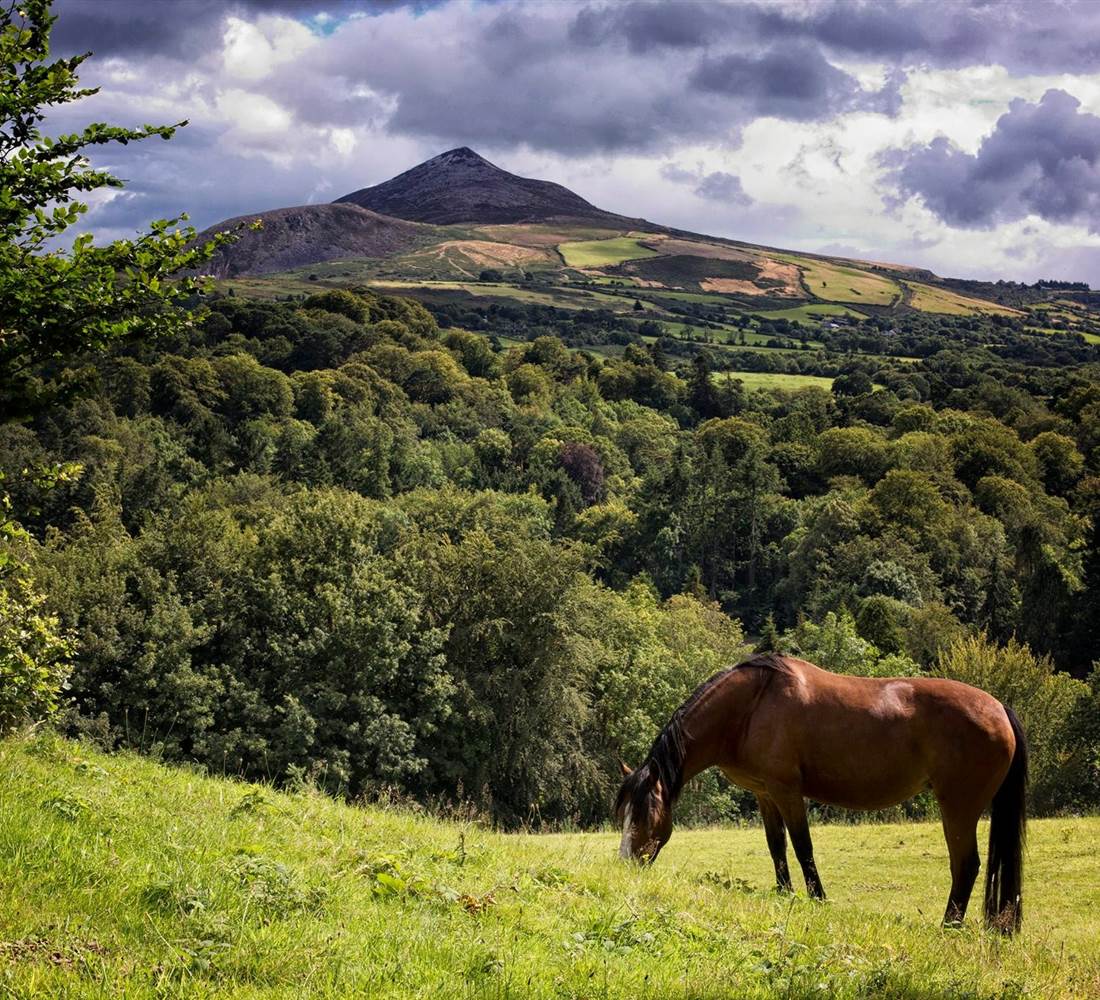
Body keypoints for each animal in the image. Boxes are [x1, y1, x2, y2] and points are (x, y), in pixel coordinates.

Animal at [614, 653, 1028, 933]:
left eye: (646, 815)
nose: (626, 865)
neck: (751, 706)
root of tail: (1000, 709)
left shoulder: (787, 791)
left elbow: (802, 847)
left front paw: (817, 899)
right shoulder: (766, 794)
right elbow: (776, 846)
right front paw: (784, 894)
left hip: (958, 807)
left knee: (966, 865)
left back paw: (948, 926)